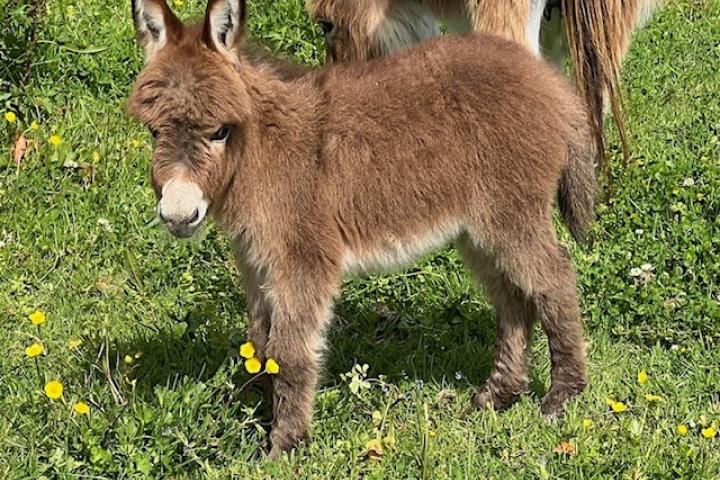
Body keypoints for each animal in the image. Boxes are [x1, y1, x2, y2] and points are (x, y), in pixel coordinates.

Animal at [128, 0, 596, 458]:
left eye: (221, 131)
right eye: (154, 131)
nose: (178, 214)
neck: (261, 150)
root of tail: (552, 84)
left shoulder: (303, 257)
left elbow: (290, 352)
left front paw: (285, 444)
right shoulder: (255, 262)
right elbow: (260, 344)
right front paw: (259, 415)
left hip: (510, 214)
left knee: (554, 278)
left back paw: (561, 396)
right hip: (477, 230)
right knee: (512, 297)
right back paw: (497, 396)